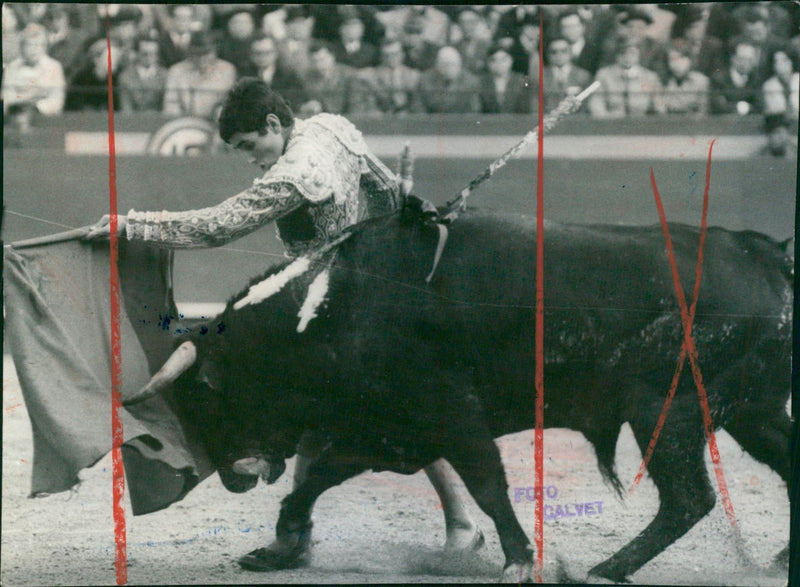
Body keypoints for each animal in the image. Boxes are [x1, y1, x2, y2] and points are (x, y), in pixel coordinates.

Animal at [128, 211, 792, 584]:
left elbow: (487, 483)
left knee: (689, 498)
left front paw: (520, 558)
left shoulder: (452, 416)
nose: (232, 478)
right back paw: (783, 558)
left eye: (207, 397)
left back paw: (604, 570)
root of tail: (767, 256)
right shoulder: (388, 429)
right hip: (755, 411)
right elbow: (318, 477)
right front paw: (280, 548)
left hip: (665, 411)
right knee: (782, 467)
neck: (335, 307)